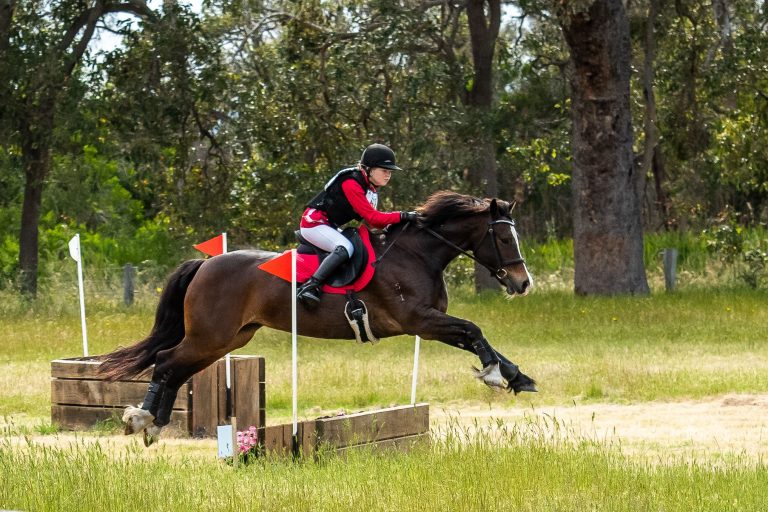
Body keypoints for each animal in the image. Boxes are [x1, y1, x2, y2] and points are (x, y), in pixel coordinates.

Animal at [99, 190, 536, 446]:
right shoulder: (419, 322)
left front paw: (517, 377)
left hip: (228, 339)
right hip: (211, 336)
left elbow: (476, 337)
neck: (417, 254)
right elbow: (473, 330)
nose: (523, 283)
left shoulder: (429, 324)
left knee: (176, 369)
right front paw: (495, 375)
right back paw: (142, 420)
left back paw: (152, 425)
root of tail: (205, 265)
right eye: (503, 238)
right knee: (165, 362)